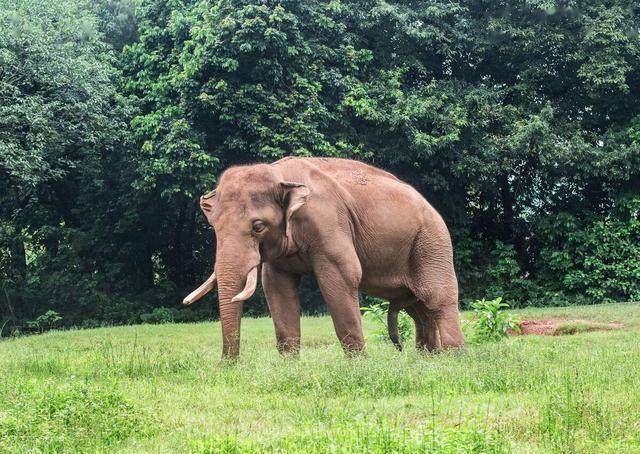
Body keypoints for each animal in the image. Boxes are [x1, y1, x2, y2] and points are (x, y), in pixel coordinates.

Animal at [183, 157, 464, 358]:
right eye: (214, 226)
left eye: (258, 226)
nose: (227, 365)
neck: (280, 175)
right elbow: (276, 287)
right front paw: (289, 365)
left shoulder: (328, 221)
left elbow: (342, 276)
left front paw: (359, 364)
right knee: (419, 308)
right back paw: (428, 358)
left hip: (431, 242)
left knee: (438, 298)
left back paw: (453, 358)